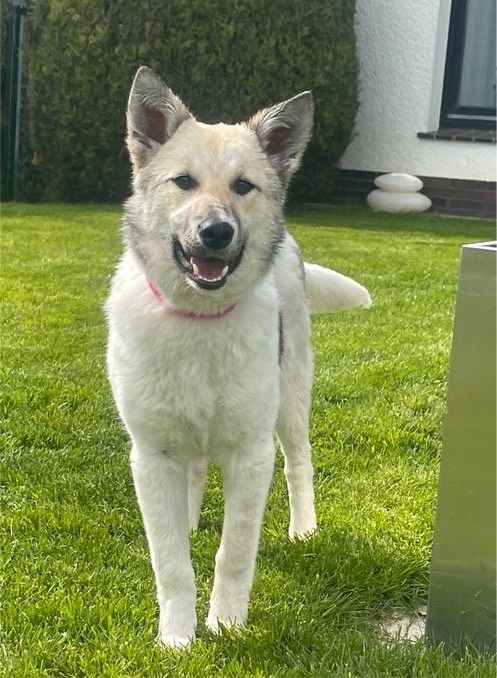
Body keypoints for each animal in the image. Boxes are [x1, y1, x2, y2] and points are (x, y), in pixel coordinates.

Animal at [105, 66, 368, 652]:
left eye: (243, 186)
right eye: (183, 182)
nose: (216, 232)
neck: (198, 320)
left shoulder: (251, 455)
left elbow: (235, 553)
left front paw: (226, 626)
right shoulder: (150, 457)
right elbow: (171, 562)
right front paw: (177, 638)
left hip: (291, 402)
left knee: (299, 463)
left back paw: (303, 528)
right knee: (195, 473)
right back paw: (192, 518)